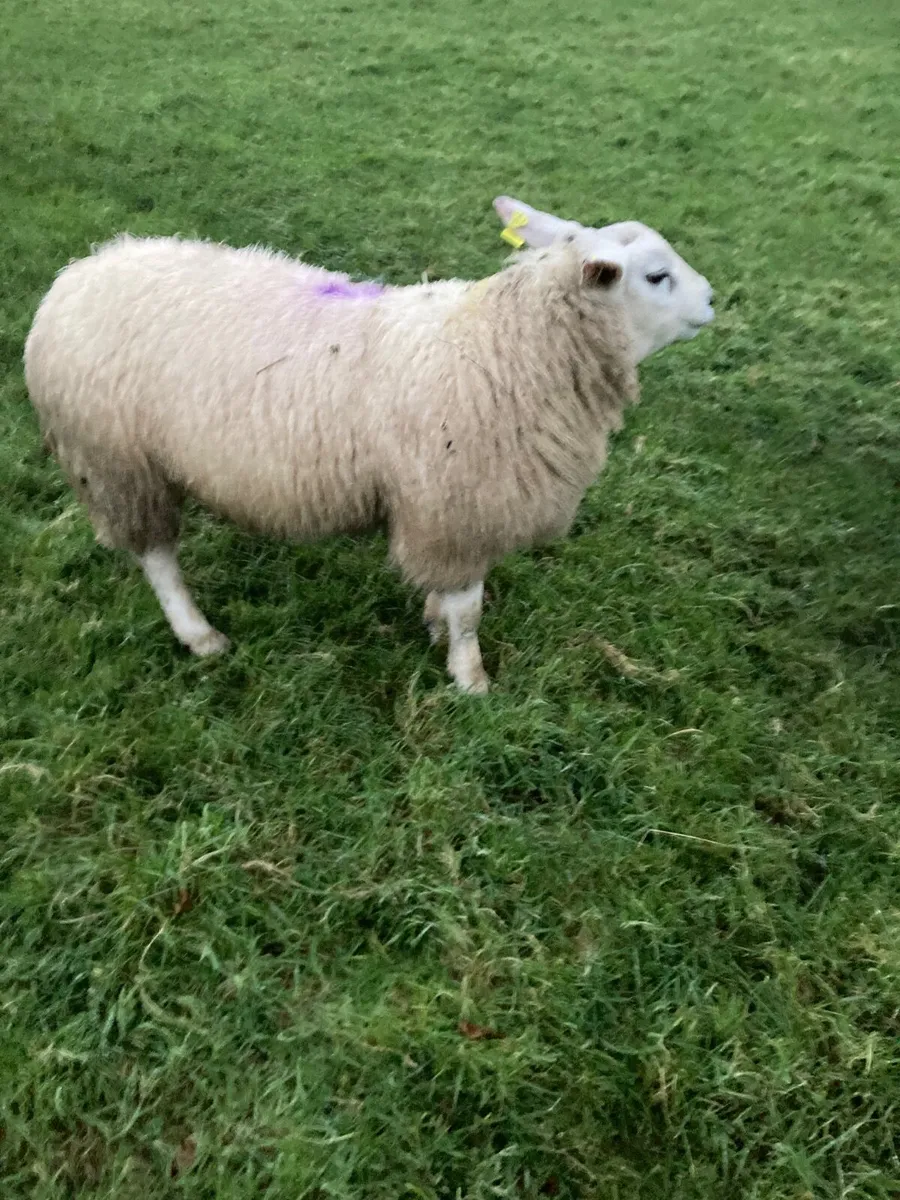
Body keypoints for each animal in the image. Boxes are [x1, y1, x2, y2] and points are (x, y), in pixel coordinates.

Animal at [24, 196, 714, 693]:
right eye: (657, 277)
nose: (713, 299)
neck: (508, 345)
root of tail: (78, 273)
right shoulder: (457, 509)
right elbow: (470, 610)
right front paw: (471, 680)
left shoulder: (442, 507)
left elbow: (449, 599)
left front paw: (434, 625)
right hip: (115, 461)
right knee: (157, 557)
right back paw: (200, 635)